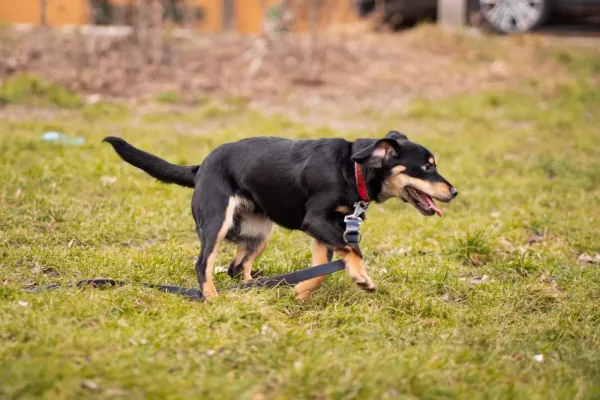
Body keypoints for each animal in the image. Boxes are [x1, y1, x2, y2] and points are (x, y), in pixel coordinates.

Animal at [104, 131, 460, 300]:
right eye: (427, 167)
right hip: (216, 220)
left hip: (261, 231)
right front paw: (362, 278)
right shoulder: (316, 221)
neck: (353, 168)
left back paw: (254, 288)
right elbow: (353, 252)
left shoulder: (327, 230)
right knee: (203, 263)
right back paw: (212, 298)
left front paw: (299, 295)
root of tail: (200, 167)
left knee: (237, 267)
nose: (454, 192)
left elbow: (321, 270)